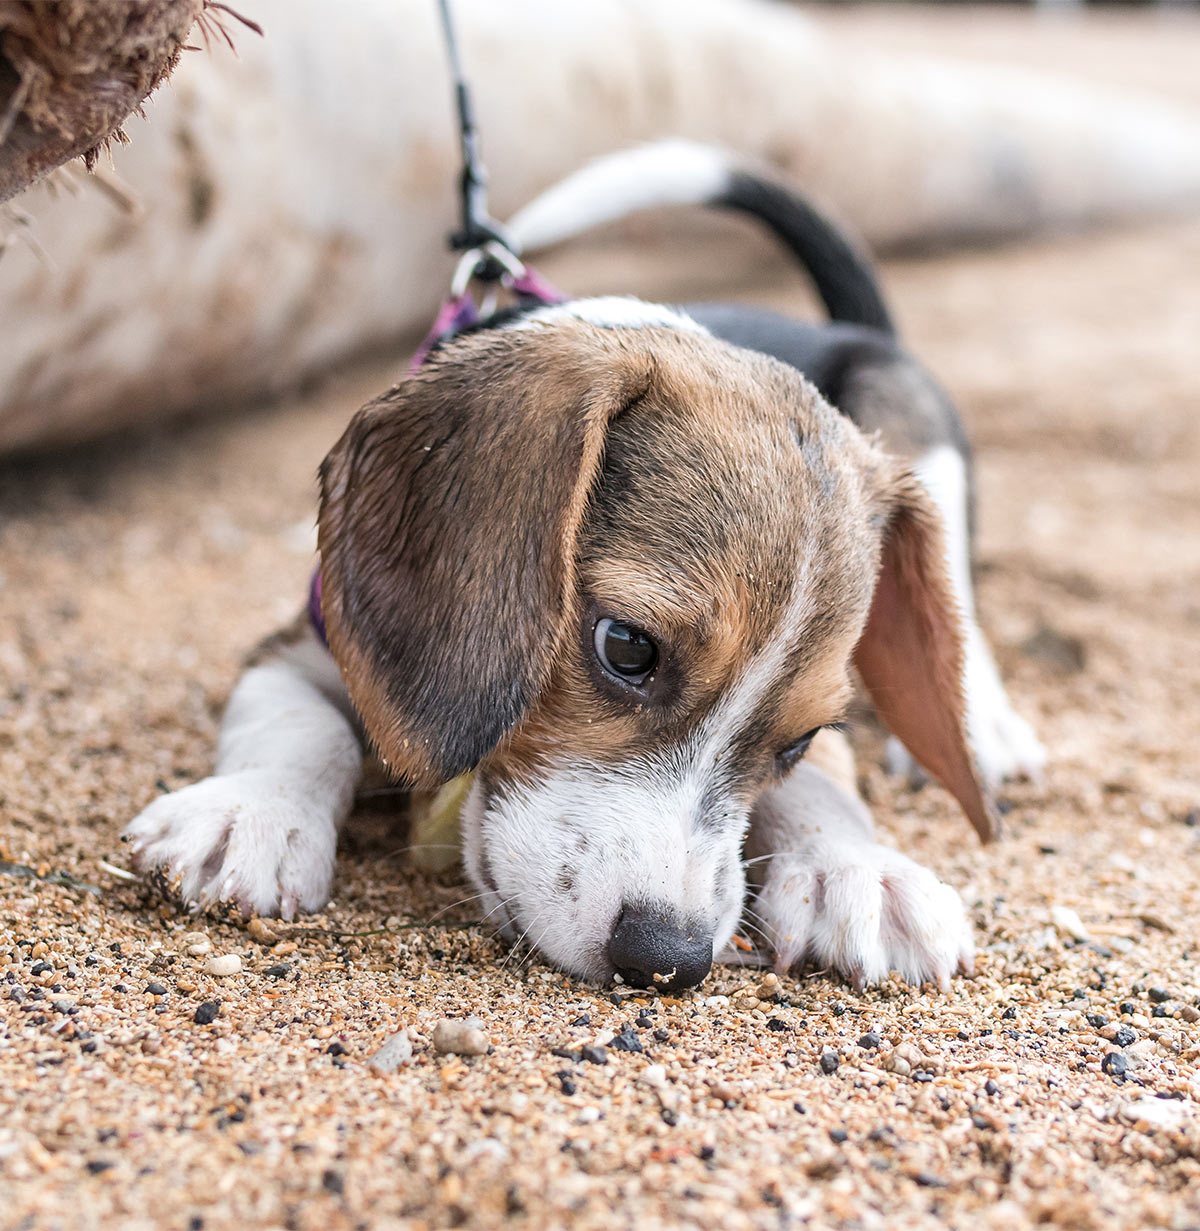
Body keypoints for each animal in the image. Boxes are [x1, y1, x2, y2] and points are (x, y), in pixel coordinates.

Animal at [124, 141, 1043, 989]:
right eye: (627, 648)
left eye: (802, 737)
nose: (668, 959)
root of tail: (851, 328)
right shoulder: (299, 646)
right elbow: (298, 726)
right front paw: (249, 812)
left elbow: (829, 785)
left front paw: (858, 868)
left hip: (923, 452)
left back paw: (986, 727)